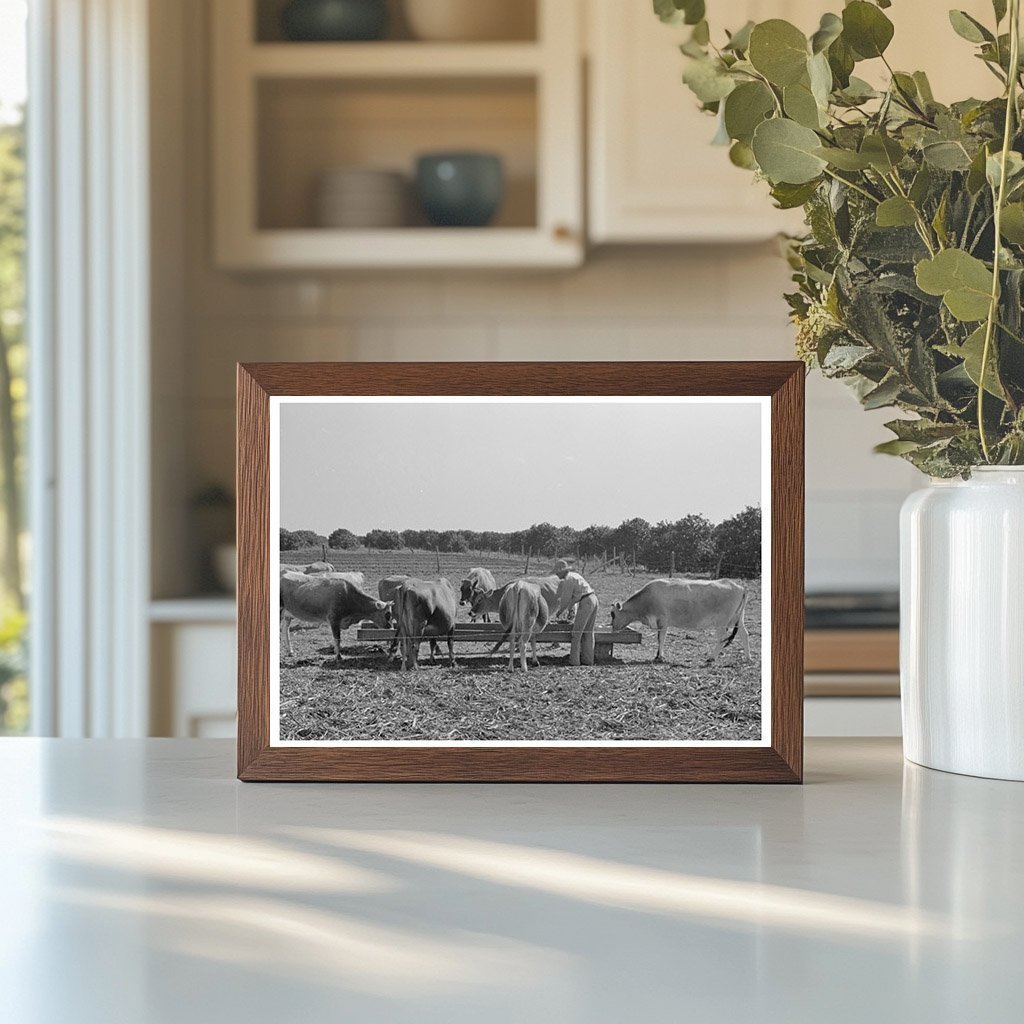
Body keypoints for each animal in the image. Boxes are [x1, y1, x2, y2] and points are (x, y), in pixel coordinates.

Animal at [606, 577, 753, 663]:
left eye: (613, 614)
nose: (613, 627)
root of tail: (739, 586)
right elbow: (659, 639)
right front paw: (658, 655)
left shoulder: (662, 621)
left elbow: (661, 639)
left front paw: (660, 657)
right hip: (738, 619)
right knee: (744, 634)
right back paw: (747, 658)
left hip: (721, 623)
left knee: (722, 639)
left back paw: (711, 657)